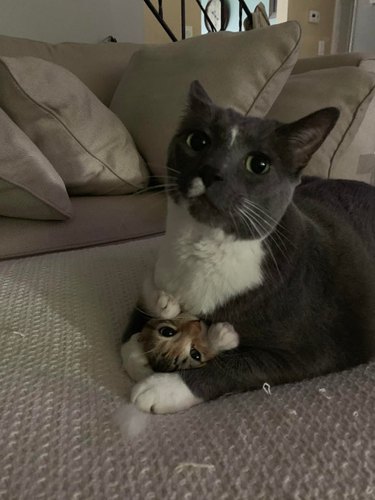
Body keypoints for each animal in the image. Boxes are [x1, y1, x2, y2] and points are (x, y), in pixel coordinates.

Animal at [123, 79, 375, 414]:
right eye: (197, 140)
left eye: (259, 164)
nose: (211, 171)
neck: (203, 244)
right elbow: (132, 325)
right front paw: (141, 351)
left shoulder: (315, 350)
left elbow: (241, 366)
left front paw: (163, 387)